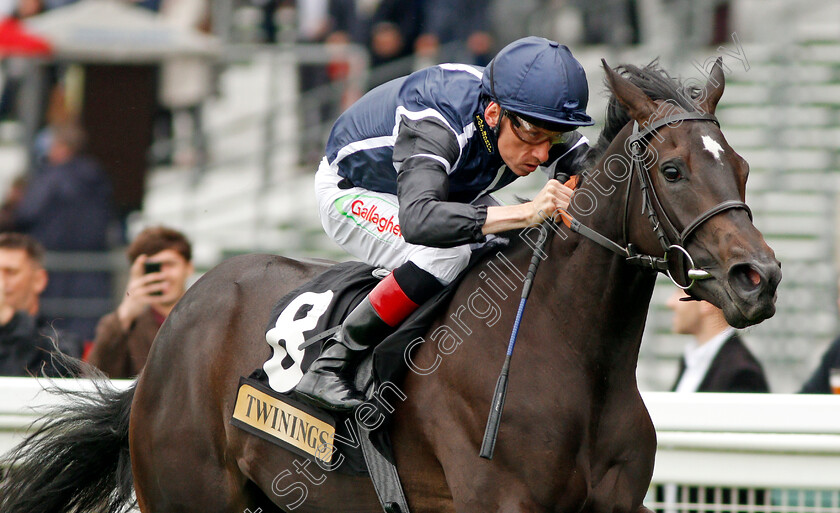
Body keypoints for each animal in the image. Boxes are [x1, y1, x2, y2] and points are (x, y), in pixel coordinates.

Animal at [0, 58, 780, 510]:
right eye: (673, 169)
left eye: (741, 166)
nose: (759, 277)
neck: (573, 358)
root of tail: (177, 324)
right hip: (187, 492)